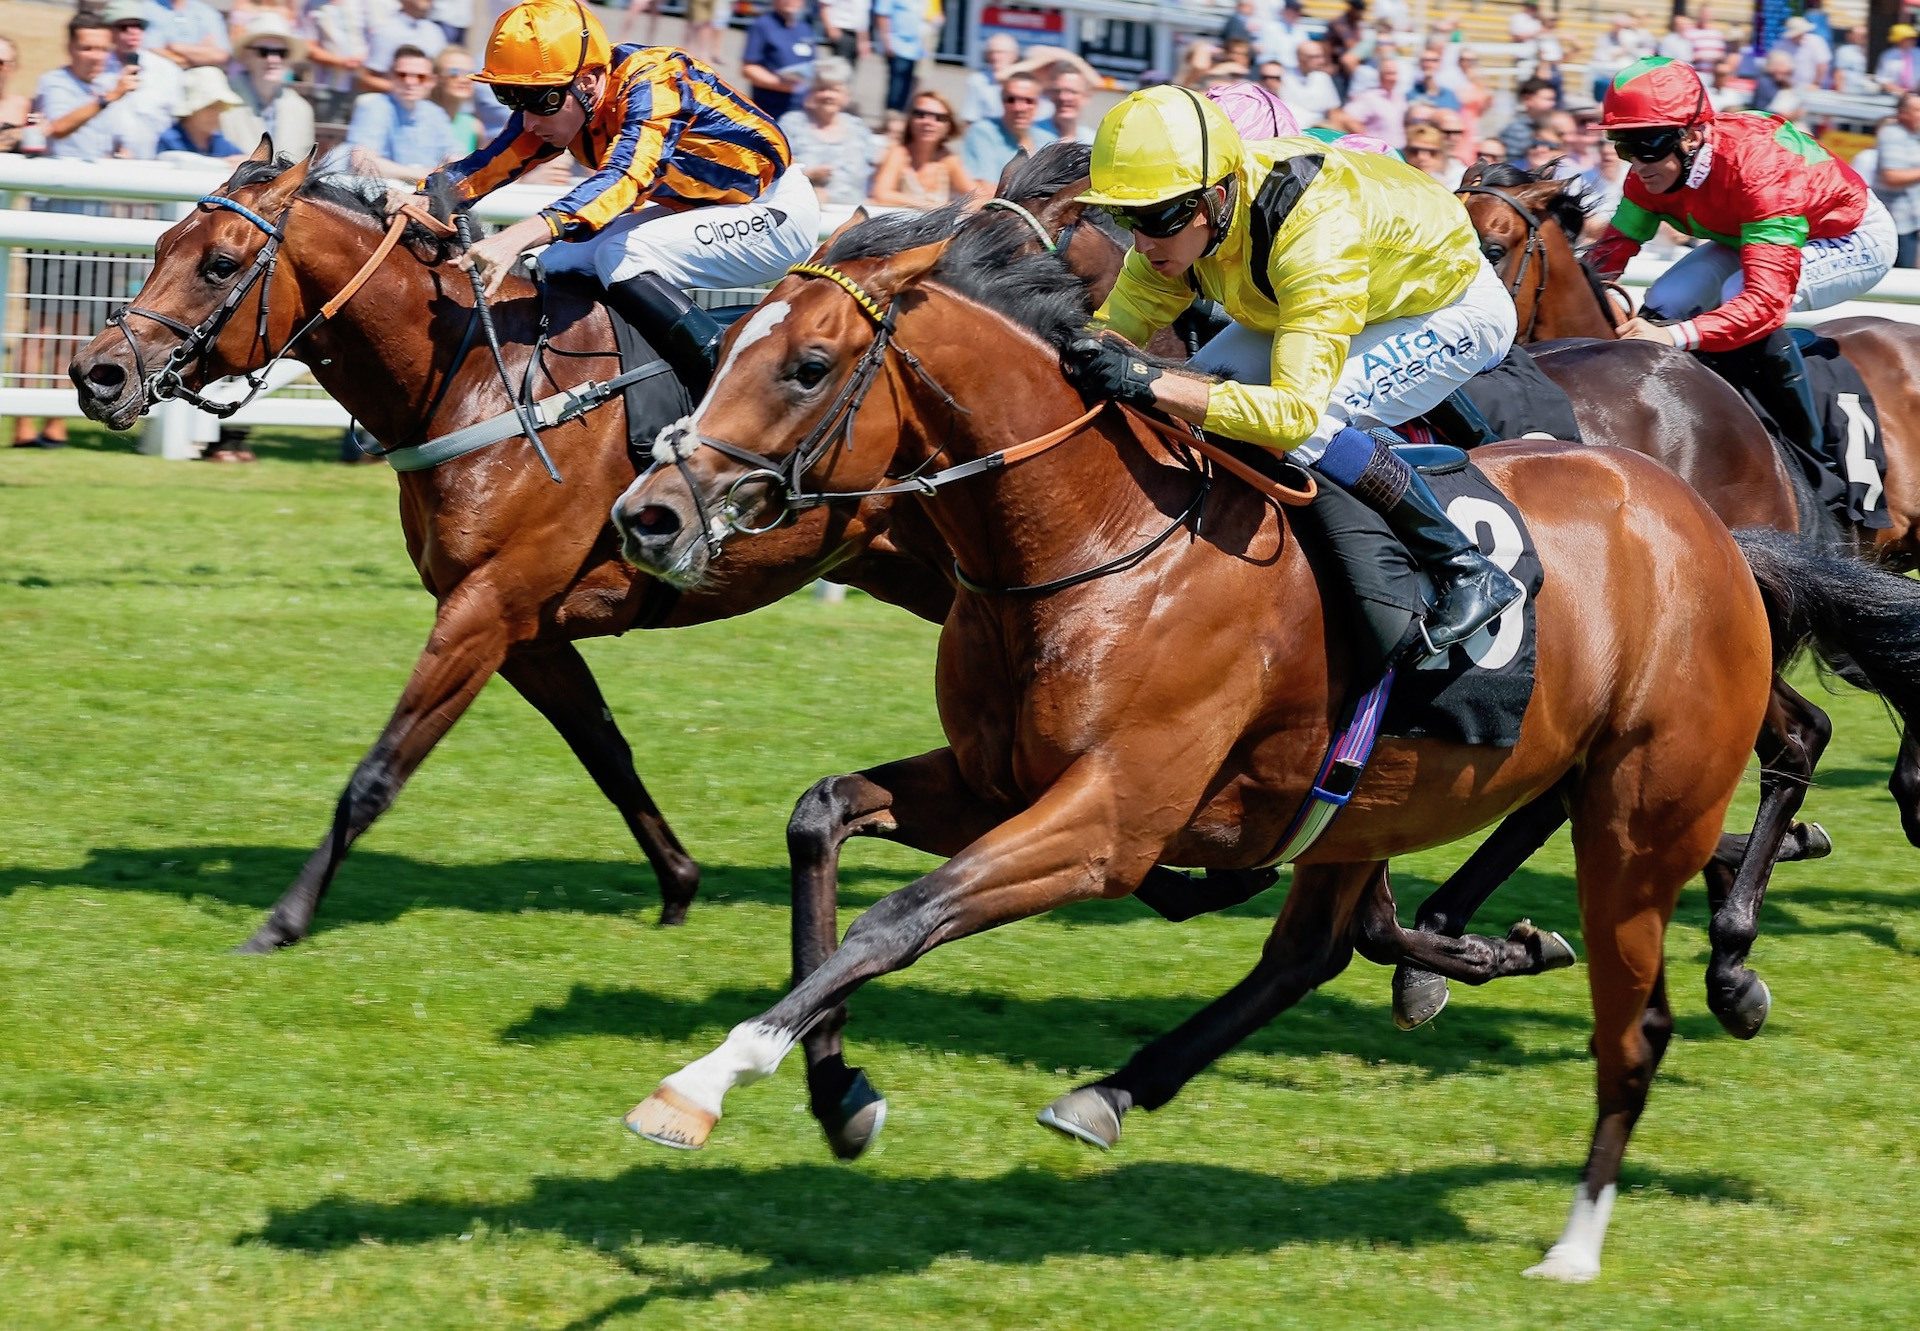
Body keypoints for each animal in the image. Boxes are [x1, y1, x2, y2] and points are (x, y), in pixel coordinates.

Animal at [69, 145, 960, 948]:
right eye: (159, 244)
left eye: (219, 264)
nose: (97, 374)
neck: (476, 381)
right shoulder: (526, 629)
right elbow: (606, 751)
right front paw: (678, 885)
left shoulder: (485, 609)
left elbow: (377, 773)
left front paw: (282, 922)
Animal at [606, 205, 1920, 1275]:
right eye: (727, 345)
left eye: (809, 364)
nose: (645, 514)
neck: (1094, 537)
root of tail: (1709, 530)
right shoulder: (999, 781)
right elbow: (820, 815)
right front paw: (838, 1088)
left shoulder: (1111, 820)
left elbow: (899, 919)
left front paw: (703, 1080)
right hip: (1392, 789)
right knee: (1313, 948)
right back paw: (1136, 1079)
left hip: (1633, 792)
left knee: (1643, 951)